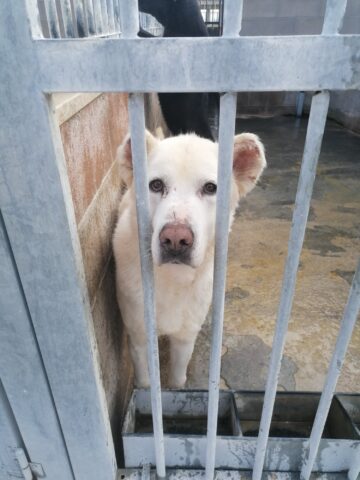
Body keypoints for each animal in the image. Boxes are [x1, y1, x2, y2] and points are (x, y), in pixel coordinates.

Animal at [114, 129, 266, 388]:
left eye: (210, 188)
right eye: (156, 185)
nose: (175, 239)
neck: (171, 279)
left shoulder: (185, 339)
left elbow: (177, 381)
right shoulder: (139, 338)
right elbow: (145, 384)